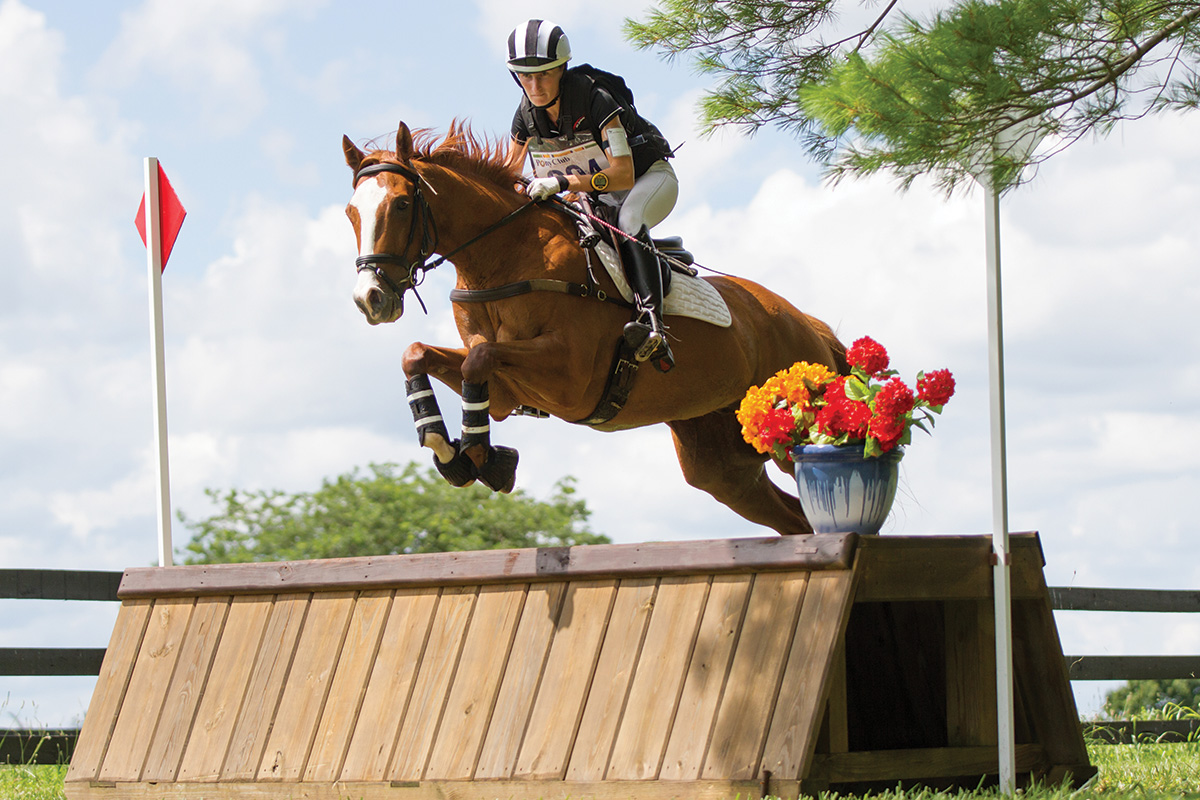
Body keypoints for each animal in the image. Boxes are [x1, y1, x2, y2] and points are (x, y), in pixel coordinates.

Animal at [340, 122, 844, 534]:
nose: (370, 299)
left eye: (401, 204)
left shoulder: (570, 379)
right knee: (792, 518)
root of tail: (808, 323)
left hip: (788, 427)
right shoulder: (502, 391)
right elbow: (419, 354)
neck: (502, 255)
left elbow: (479, 360)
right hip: (724, 465)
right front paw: (455, 454)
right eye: (351, 213)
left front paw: (483, 458)